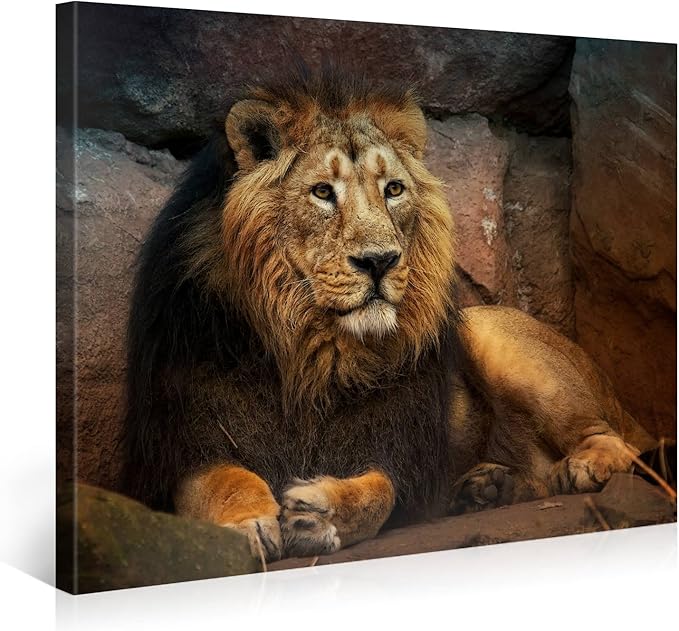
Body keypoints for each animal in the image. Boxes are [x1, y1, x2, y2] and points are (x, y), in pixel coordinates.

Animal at [121, 69, 657, 562]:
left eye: (394, 189)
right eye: (322, 192)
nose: (380, 261)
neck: (307, 351)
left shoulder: (395, 445)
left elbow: (379, 492)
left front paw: (319, 514)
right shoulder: (186, 442)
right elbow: (223, 480)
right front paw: (248, 522)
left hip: (491, 331)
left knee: (619, 443)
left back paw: (581, 467)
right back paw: (488, 489)